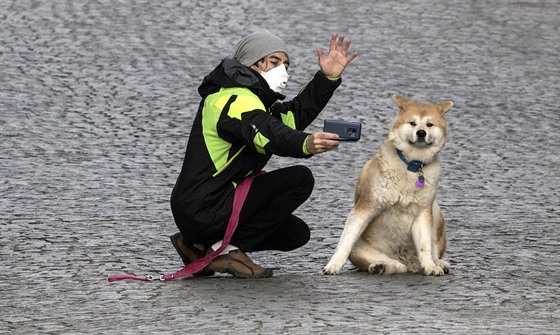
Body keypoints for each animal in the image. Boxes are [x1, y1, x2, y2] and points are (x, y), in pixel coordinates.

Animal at [326, 94, 452, 276]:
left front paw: (430, 266)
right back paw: (380, 266)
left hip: (436, 212)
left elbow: (424, 247)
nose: (421, 132)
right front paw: (333, 265)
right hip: (362, 249)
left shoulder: (423, 213)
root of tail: (408, 261)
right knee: (394, 265)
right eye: (412, 123)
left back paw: (438, 263)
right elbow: (344, 243)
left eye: (429, 124)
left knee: (430, 253)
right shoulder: (365, 207)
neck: (412, 166)